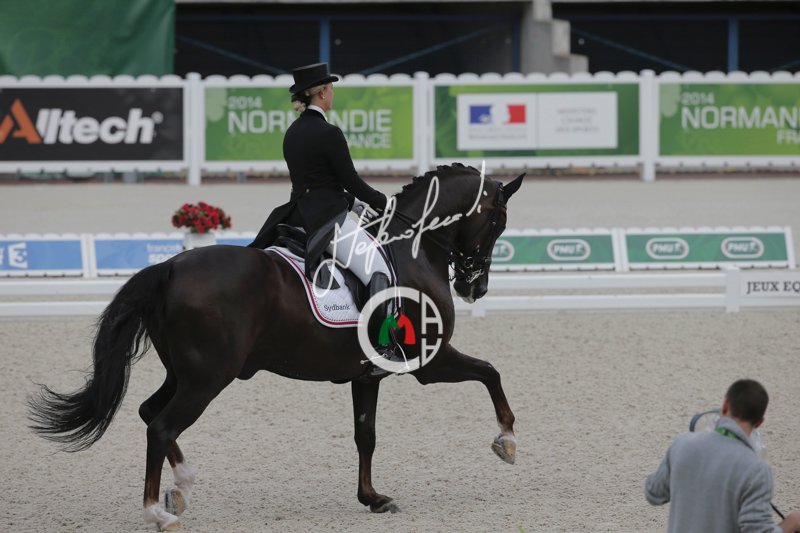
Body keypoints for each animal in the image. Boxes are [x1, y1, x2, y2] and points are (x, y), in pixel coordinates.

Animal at [28, 163, 522, 531]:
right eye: (497, 222)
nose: (475, 287)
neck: (413, 249)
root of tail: (169, 268)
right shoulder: (429, 362)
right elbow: (491, 371)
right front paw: (507, 440)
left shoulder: (367, 375)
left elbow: (366, 435)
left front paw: (372, 498)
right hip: (208, 379)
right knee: (162, 426)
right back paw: (159, 512)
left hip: (185, 374)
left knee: (150, 413)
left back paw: (179, 489)